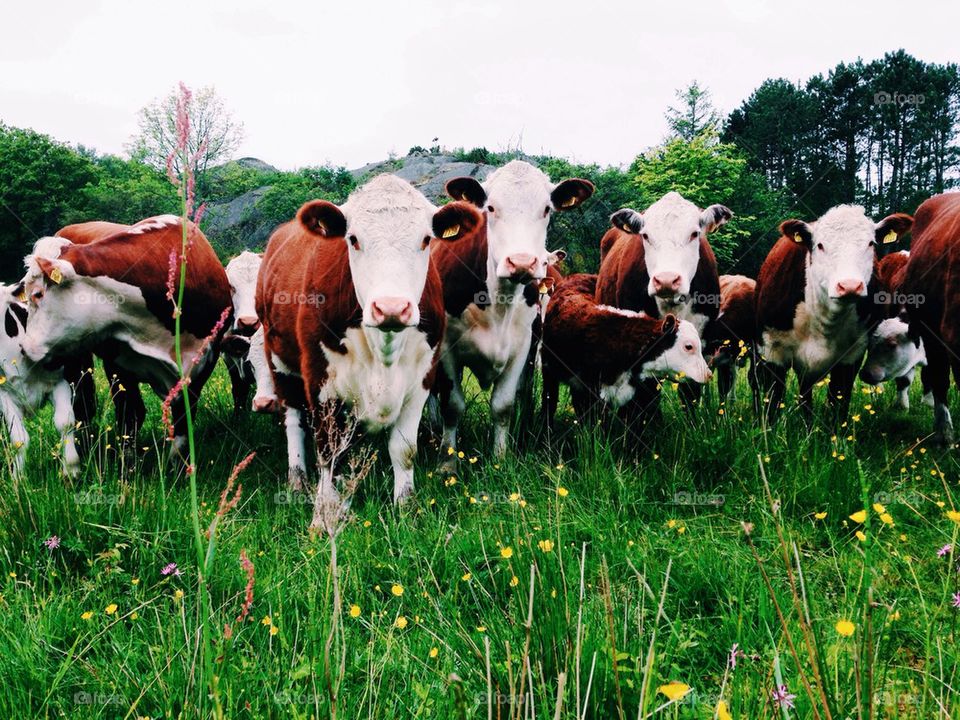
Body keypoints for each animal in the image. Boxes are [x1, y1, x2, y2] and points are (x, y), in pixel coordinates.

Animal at [0, 287, 80, 478]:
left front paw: (71, 469)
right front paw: (18, 478)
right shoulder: (4, 394)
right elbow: (18, 438)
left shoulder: (60, 381)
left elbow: (65, 422)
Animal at [19, 215, 232, 462]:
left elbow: (182, 424)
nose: (24, 348)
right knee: (83, 404)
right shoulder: (118, 366)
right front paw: (127, 463)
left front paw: (177, 465)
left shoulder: (202, 366)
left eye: (37, 294)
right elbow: (130, 414)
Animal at [256, 175, 481, 521]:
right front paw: (324, 514)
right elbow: (329, 451)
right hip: (280, 362)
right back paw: (297, 479)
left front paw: (406, 506)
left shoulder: (421, 378)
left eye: (426, 240)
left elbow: (404, 449)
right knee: (293, 419)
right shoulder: (320, 380)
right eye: (353, 239)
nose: (391, 307)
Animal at [430, 160, 594, 463]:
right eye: (491, 208)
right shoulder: (447, 349)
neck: (498, 303)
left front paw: (500, 457)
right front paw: (447, 461)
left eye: (546, 209)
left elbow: (503, 405)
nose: (521, 262)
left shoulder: (522, 347)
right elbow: (452, 405)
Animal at [753, 206, 913, 423]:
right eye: (820, 245)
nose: (850, 285)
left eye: (871, 243)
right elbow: (773, 401)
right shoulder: (771, 350)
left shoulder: (852, 356)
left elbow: (838, 402)